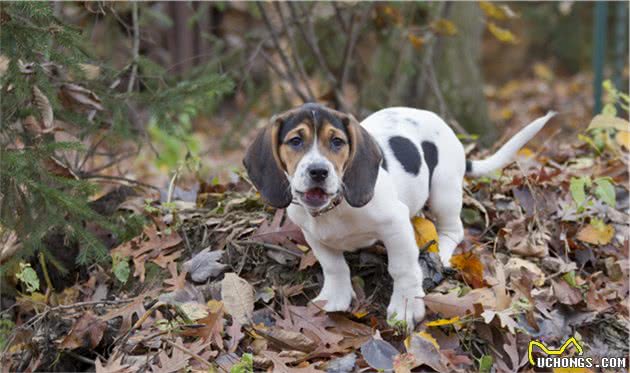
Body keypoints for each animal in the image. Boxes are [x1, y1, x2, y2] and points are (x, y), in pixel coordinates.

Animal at [244, 104, 556, 326]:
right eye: (296, 140)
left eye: (337, 142)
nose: (318, 172)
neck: (336, 207)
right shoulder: (314, 235)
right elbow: (334, 266)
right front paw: (335, 297)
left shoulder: (395, 224)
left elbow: (402, 269)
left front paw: (405, 307)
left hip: (444, 190)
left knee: (453, 230)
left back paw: (440, 254)